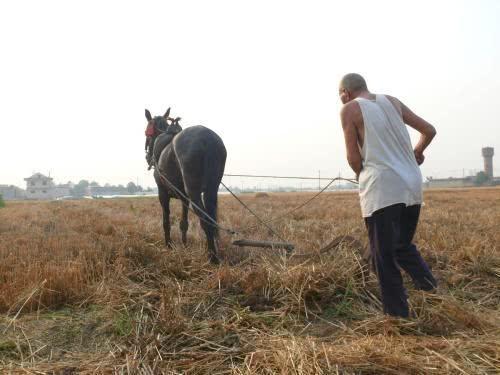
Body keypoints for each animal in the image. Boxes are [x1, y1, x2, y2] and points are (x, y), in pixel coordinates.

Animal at [144, 107, 228, 264]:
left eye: (147, 132)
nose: (147, 157)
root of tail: (207, 139)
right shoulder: (184, 198)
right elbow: (184, 223)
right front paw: (184, 245)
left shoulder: (162, 193)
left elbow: (166, 221)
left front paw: (169, 245)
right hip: (211, 189)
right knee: (211, 218)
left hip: (193, 191)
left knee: (205, 220)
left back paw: (212, 257)